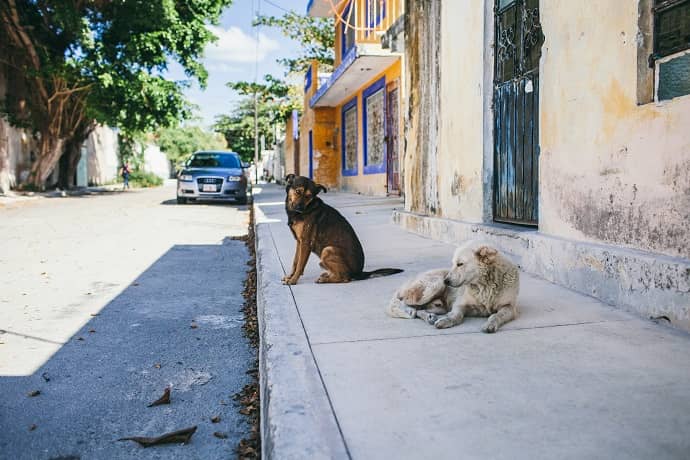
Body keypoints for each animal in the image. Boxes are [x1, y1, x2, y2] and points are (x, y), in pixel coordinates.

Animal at [388, 241, 516, 334]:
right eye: (453, 263)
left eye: (460, 264)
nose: (446, 281)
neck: (484, 285)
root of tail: (408, 281)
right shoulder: (459, 304)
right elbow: (456, 315)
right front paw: (447, 320)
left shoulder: (509, 307)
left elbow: (496, 315)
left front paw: (490, 324)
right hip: (434, 285)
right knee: (406, 304)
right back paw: (412, 311)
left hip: (439, 307)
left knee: (418, 310)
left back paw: (429, 316)